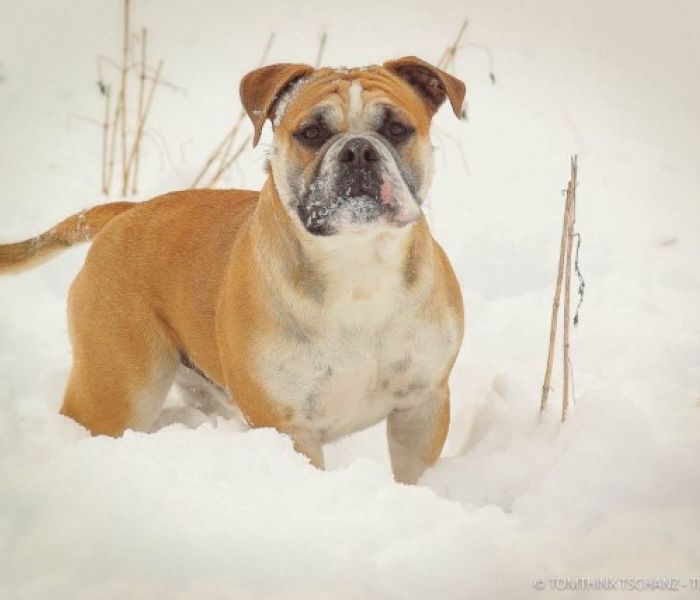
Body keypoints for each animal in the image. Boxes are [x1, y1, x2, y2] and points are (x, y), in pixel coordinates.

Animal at [0, 56, 465, 484]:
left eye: (396, 128)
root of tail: (125, 212)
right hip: (118, 391)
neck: (356, 263)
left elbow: (413, 474)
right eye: (311, 133)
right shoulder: (286, 424)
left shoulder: (421, 406)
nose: (358, 150)